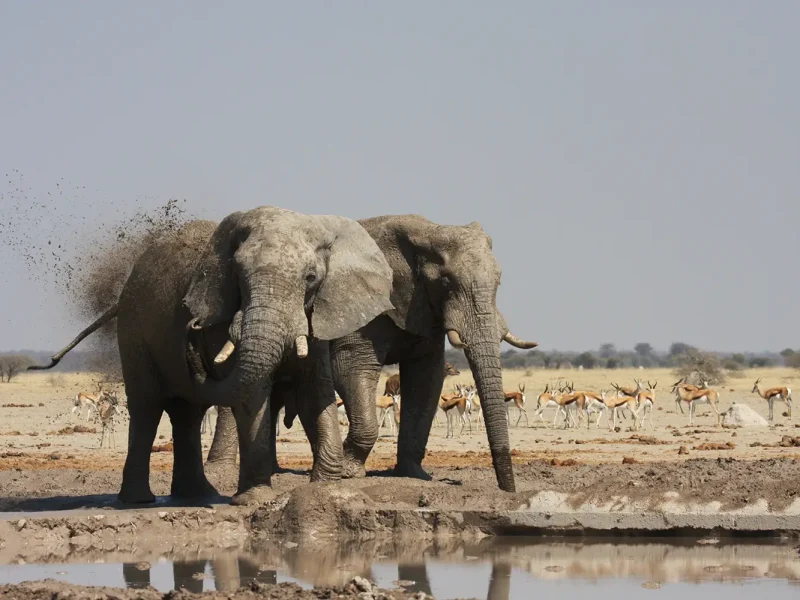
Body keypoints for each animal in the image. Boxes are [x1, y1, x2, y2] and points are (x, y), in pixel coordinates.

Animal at [30, 206, 394, 505]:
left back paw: (197, 495)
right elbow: (252, 395)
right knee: (147, 406)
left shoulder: (317, 314)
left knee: (187, 413)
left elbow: (314, 392)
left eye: (311, 278)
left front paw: (327, 490)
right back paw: (139, 501)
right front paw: (256, 500)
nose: (192, 326)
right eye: (239, 278)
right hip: (134, 330)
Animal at [206, 214, 536, 493]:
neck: (424, 232)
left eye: (498, 283)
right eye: (445, 282)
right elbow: (352, 369)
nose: (507, 490)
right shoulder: (363, 312)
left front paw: (413, 475)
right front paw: (349, 470)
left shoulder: (423, 310)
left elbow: (426, 379)